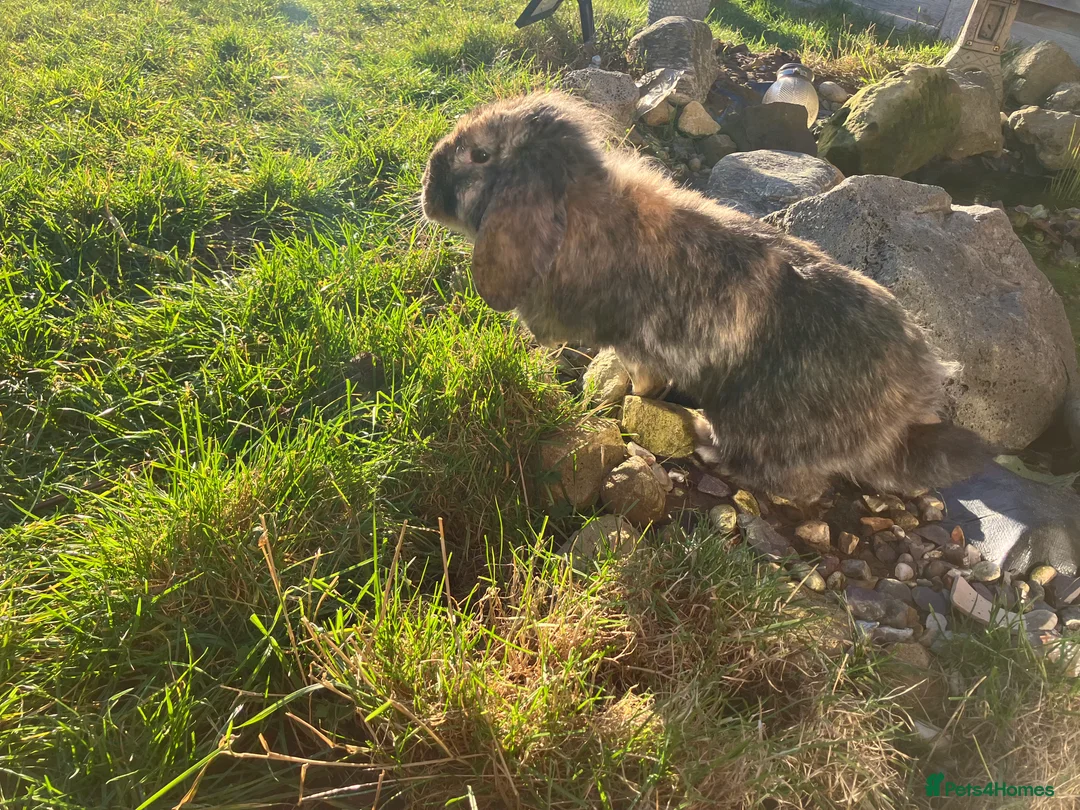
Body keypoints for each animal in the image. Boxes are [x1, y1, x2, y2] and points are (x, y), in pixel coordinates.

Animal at [420, 91, 994, 502]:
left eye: (479, 154)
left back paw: (700, 435)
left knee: (795, 485)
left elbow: (643, 377)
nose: (427, 183)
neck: (579, 210)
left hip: (757, 423)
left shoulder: (637, 345)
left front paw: (623, 398)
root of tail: (903, 413)